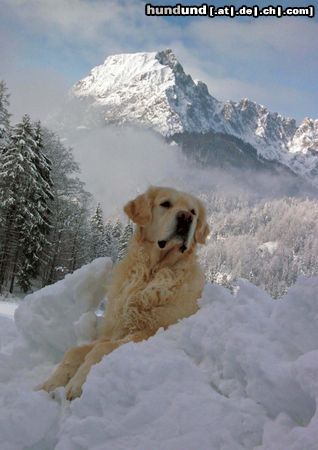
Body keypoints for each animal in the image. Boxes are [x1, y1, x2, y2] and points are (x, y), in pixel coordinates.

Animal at [39, 187, 209, 400]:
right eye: (165, 204)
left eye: (193, 212)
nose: (186, 217)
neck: (151, 271)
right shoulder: (116, 329)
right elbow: (75, 351)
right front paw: (50, 383)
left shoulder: (153, 330)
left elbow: (99, 349)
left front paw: (77, 383)